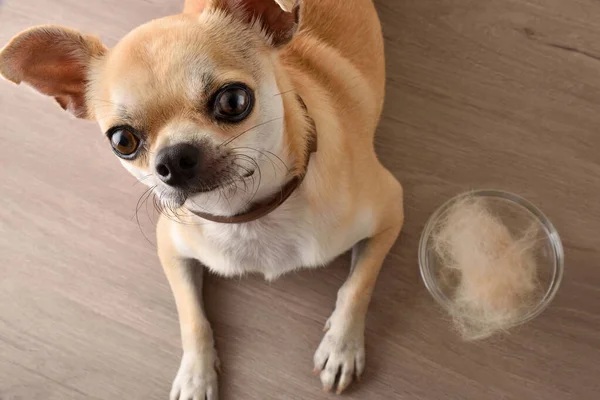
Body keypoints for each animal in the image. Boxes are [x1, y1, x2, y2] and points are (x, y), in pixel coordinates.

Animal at [1, 0, 404, 396]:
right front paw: (196, 376)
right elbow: (192, 318)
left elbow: (357, 286)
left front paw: (341, 347)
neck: (247, 216)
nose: (174, 158)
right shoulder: (171, 249)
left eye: (234, 101)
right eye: (122, 141)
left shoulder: (391, 211)